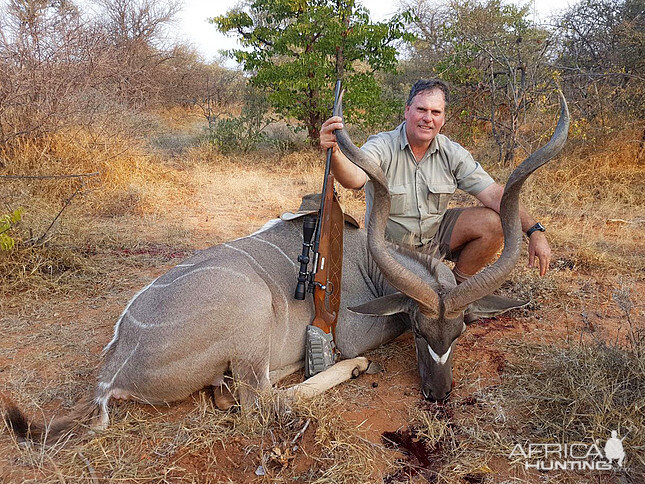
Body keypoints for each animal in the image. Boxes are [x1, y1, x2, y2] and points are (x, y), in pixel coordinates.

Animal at [1, 93, 568, 442]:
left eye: (461, 331)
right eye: (416, 325)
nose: (438, 394)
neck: (366, 259)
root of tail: (113, 369)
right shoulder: (358, 330)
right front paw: (356, 361)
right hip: (252, 313)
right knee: (260, 401)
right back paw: (345, 369)